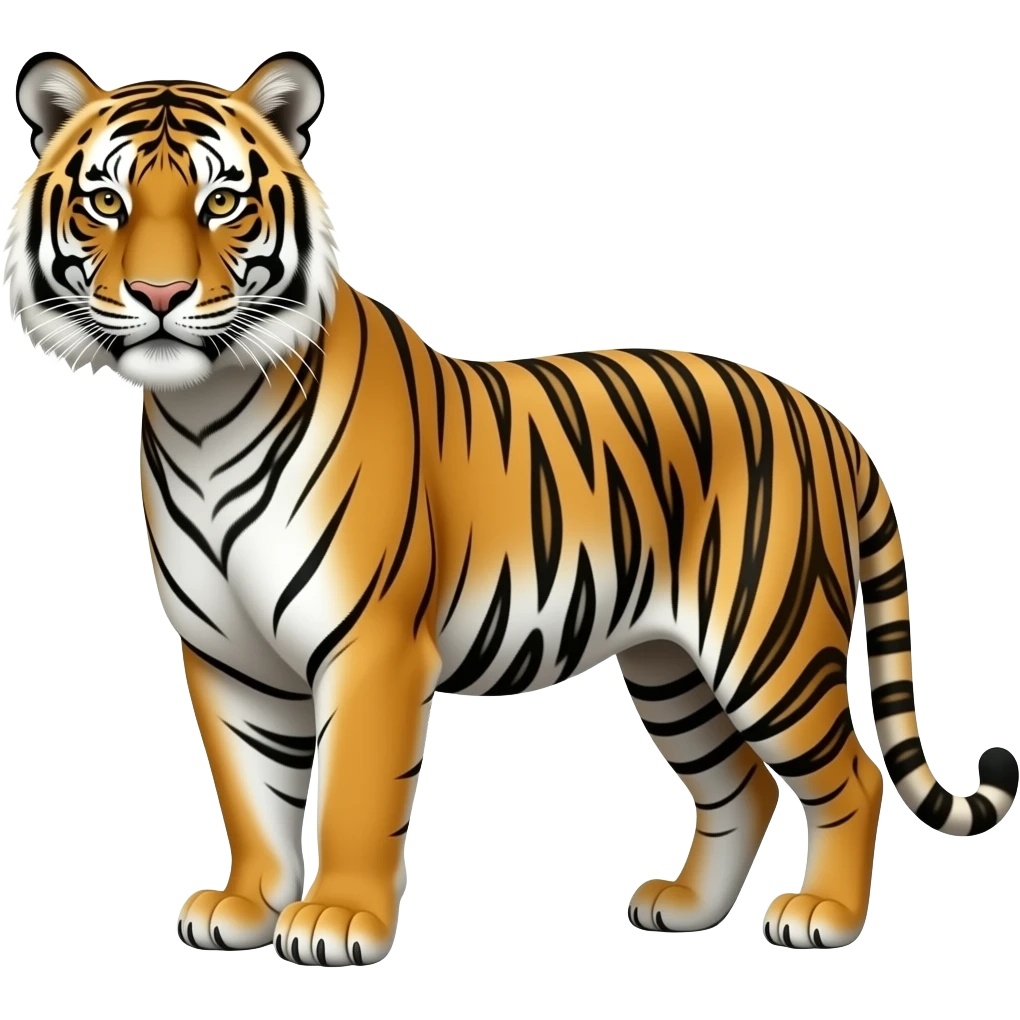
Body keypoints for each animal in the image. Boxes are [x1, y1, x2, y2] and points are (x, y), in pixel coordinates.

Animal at [6, 48, 1017, 966]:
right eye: (107, 203)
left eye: (221, 202)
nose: (160, 294)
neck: (202, 416)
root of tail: (826, 416)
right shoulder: (228, 657)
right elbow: (251, 793)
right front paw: (246, 909)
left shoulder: (371, 646)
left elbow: (352, 793)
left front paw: (336, 921)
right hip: (669, 665)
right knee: (739, 785)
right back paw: (686, 908)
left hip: (768, 642)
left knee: (850, 775)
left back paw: (825, 918)